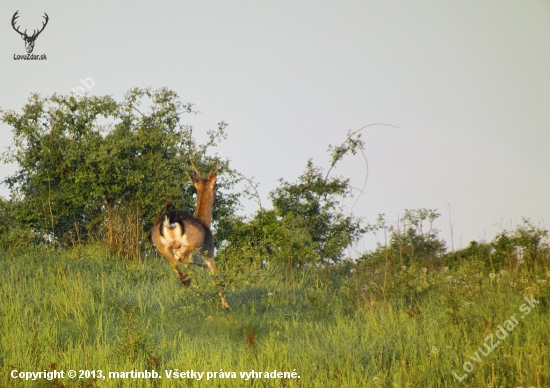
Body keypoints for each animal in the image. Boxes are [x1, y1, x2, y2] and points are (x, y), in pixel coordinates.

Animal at [151, 161, 231, 310]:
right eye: (216, 186)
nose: (216, 199)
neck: (205, 223)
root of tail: (170, 220)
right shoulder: (209, 255)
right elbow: (217, 278)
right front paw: (226, 306)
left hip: (162, 247)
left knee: (176, 265)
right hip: (191, 245)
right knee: (183, 261)